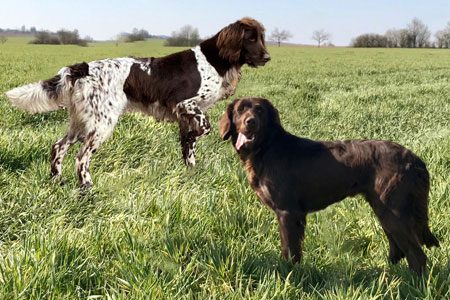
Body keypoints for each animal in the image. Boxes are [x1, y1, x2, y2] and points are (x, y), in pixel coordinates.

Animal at [220, 98, 438, 274]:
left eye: (260, 110)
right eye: (240, 110)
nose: (250, 122)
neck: (267, 147)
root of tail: (415, 159)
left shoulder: (288, 212)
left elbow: (290, 251)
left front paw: (290, 276)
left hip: (394, 211)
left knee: (416, 255)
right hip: (384, 209)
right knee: (398, 249)